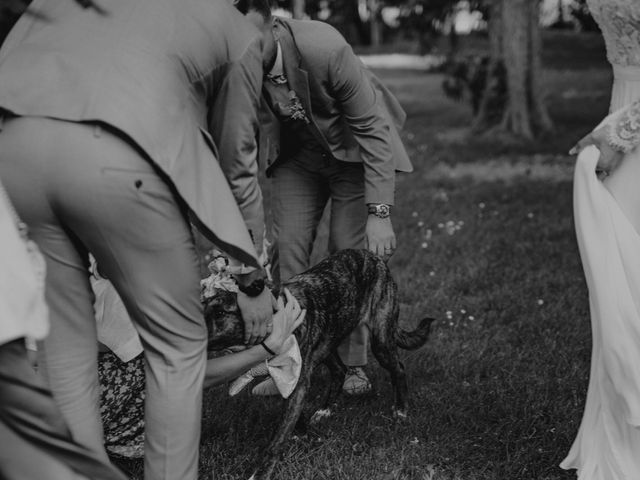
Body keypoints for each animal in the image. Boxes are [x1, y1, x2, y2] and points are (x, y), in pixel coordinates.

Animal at [205, 249, 436, 478]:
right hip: (327, 342)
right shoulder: (289, 377)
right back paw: (325, 410)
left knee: (398, 369)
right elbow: (293, 417)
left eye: (221, 313)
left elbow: (277, 440)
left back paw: (401, 410)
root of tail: (374, 256)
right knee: (339, 370)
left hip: (380, 339)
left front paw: (261, 472)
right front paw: (302, 433)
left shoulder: (297, 381)